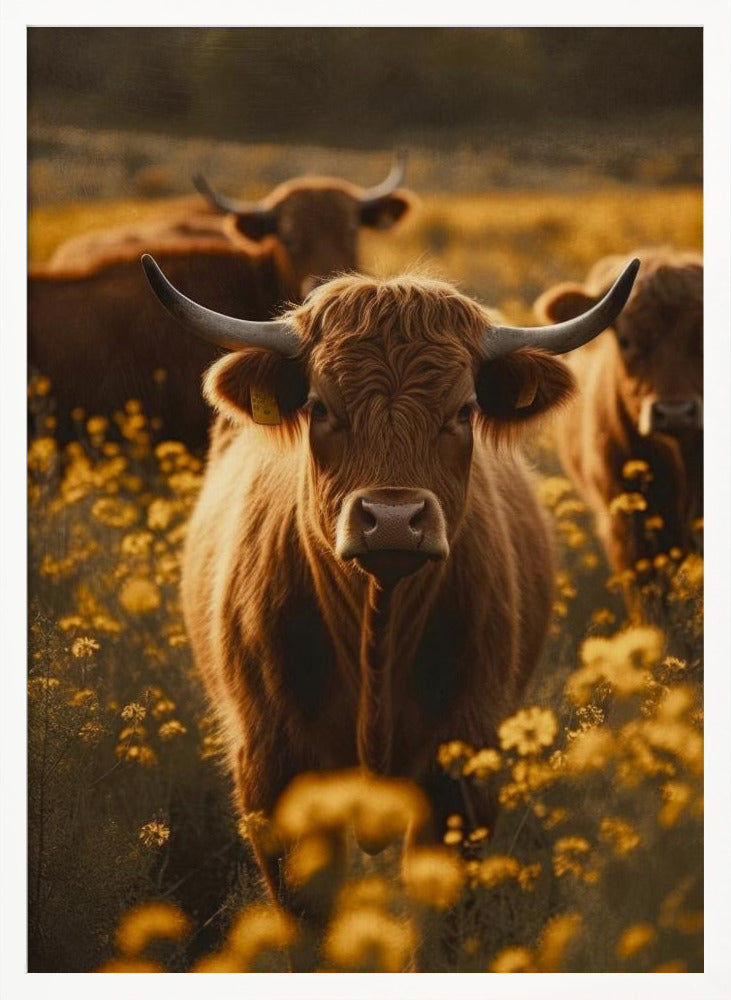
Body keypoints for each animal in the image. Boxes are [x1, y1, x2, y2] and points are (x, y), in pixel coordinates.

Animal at [142, 252, 638, 967]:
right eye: (321, 405)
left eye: (462, 409)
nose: (395, 521)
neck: (377, 623)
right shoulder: (273, 767)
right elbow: (307, 919)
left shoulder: (463, 766)